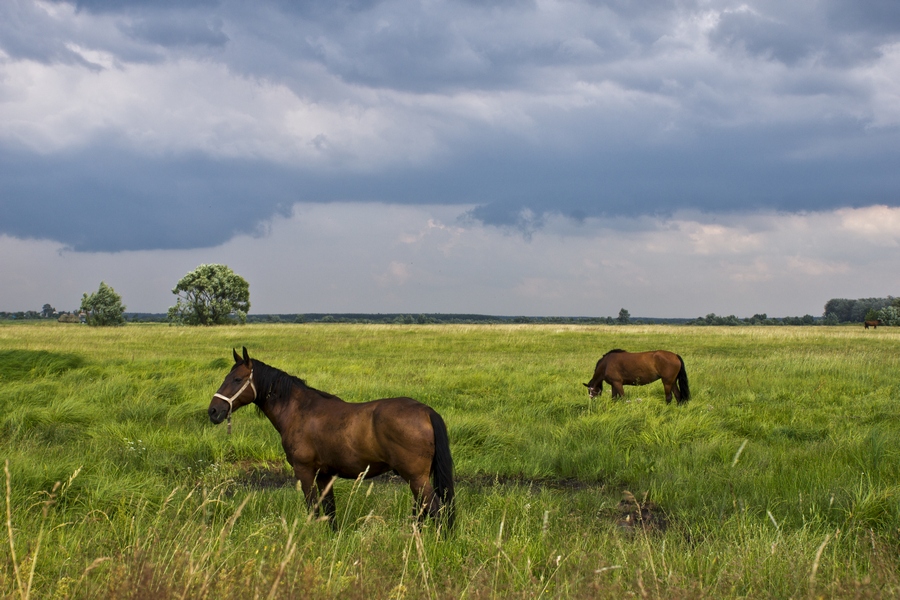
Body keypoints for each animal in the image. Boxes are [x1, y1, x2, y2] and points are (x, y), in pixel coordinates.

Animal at [207, 346, 454, 528]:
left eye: (237, 379)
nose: (213, 411)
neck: (299, 410)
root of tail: (426, 411)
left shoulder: (305, 472)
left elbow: (313, 510)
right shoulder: (325, 475)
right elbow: (329, 512)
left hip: (416, 478)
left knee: (437, 511)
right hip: (417, 479)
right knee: (423, 512)